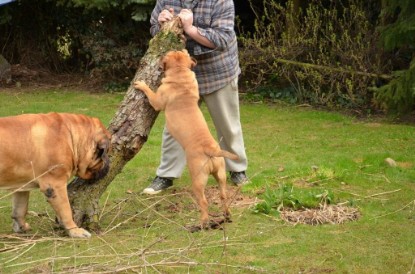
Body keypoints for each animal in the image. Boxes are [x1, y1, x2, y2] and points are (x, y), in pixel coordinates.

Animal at [135, 49, 239, 229]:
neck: (180, 74)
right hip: (221, 175)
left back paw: (202, 223)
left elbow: (149, 92)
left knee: (203, 202)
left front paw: (141, 84)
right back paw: (226, 215)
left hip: (197, 179)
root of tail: (210, 149)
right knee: (223, 196)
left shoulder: (157, 101)